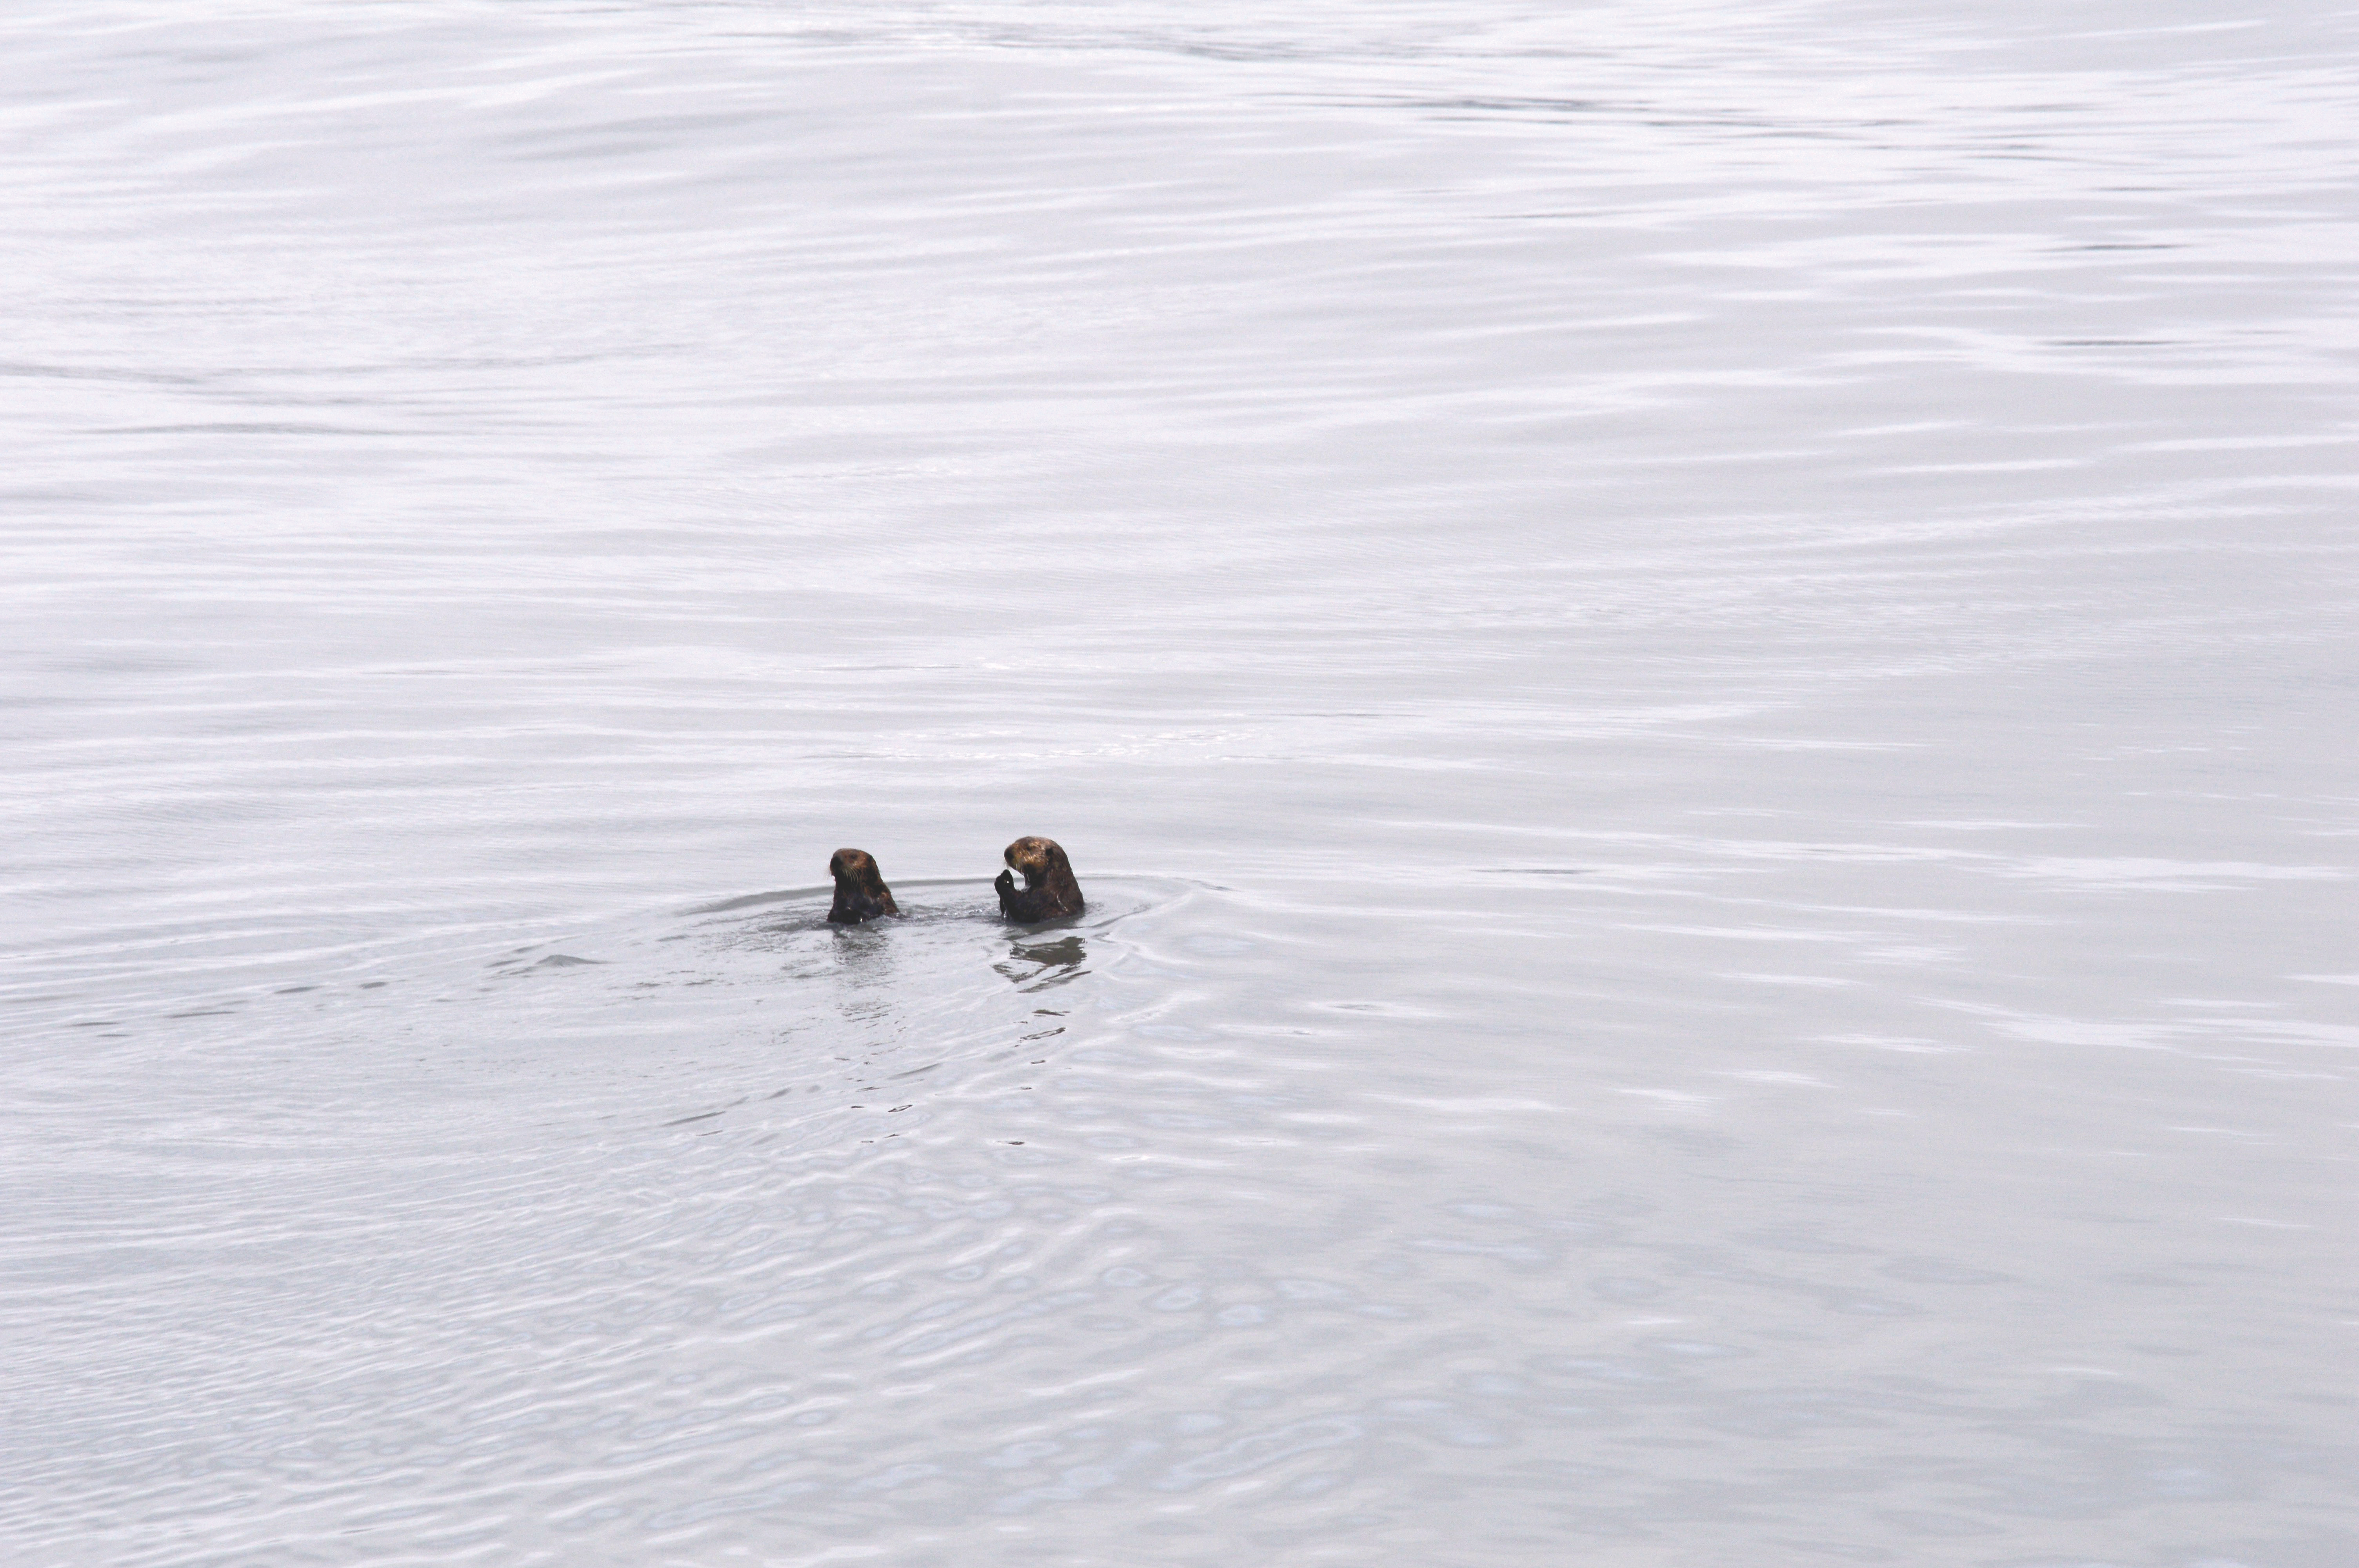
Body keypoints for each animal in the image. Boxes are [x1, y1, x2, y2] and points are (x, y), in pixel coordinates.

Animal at [994, 836, 1084, 922]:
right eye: (1016, 841)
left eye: (1029, 848)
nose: (1008, 853)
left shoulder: (1045, 895)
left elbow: (1022, 906)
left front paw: (1004, 879)